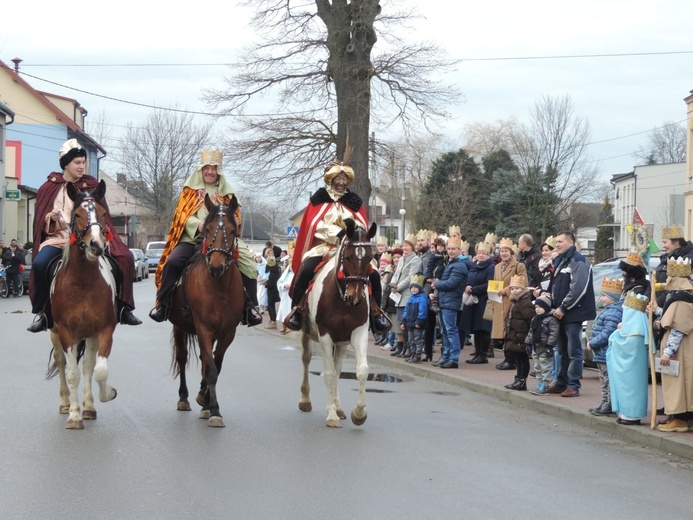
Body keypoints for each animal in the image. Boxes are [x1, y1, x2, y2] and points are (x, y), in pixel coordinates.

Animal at [48, 181, 118, 428]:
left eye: (104, 213)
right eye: (77, 214)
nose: (96, 245)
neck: (83, 283)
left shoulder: (104, 330)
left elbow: (100, 370)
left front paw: (106, 394)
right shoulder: (66, 332)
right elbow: (72, 374)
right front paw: (74, 415)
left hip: (89, 335)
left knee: (88, 365)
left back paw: (88, 406)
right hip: (56, 333)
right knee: (62, 363)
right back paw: (66, 404)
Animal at [168, 193, 243, 428]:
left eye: (232, 230)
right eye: (207, 229)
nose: (217, 266)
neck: (218, 287)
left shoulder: (227, 332)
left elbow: (215, 365)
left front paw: (207, 402)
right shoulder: (203, 328)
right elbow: (210, 369)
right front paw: (214, 410)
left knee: (203, 358)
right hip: (179, 327)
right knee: (183, 358)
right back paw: (183, 398)